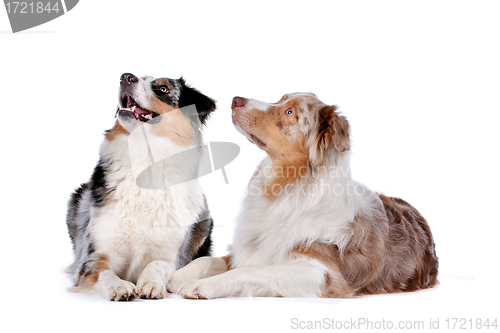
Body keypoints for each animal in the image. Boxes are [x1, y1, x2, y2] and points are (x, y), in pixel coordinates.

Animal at [66, 73, 215, 300]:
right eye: (138, 77)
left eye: (163, 89)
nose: (126, 76)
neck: (145, 160)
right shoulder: (94, 257)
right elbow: (105, 273)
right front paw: (119, 286)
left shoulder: (172, 258)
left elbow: (157, 265)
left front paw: (151, 283)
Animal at [168, 92, 438, 296]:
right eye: (281, 98)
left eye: (290, 113)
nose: (236, 99)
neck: (286, 185)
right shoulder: (249, 248)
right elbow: (208, 260)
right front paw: (172, 277)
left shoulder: (323, 274)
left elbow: (250, 270)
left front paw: (201, 285)